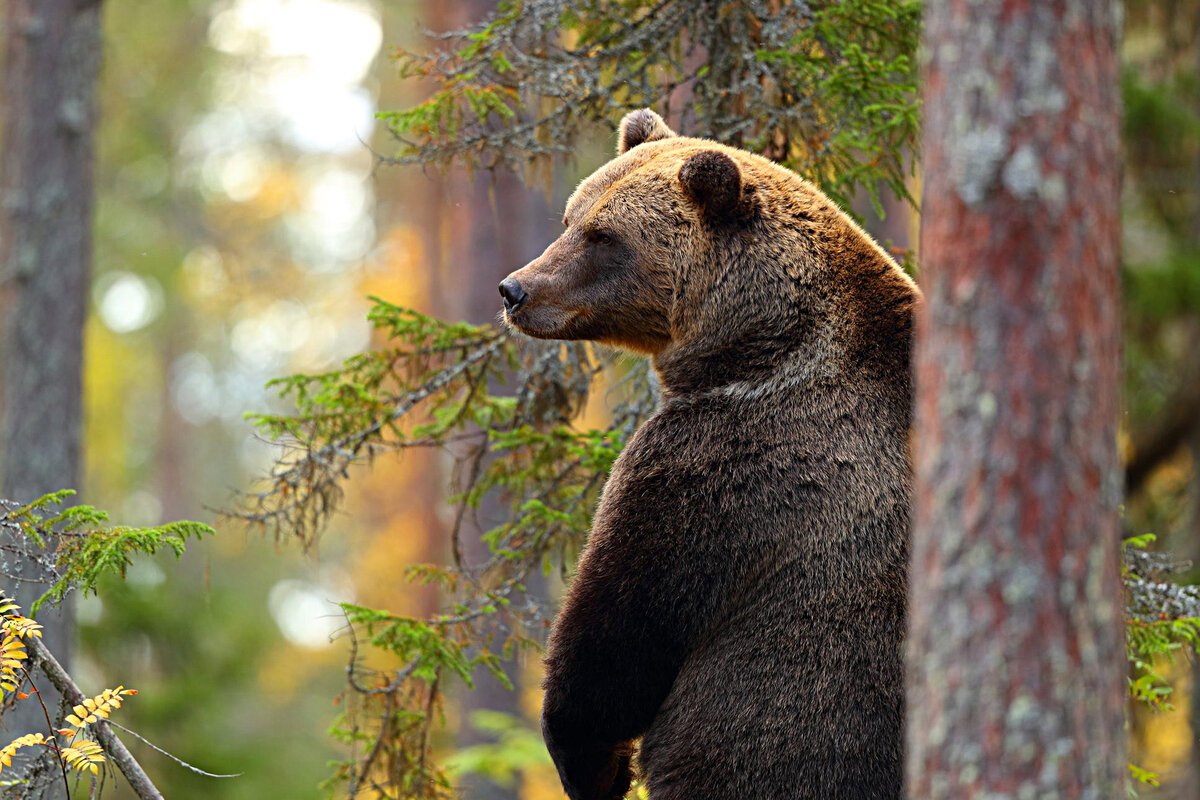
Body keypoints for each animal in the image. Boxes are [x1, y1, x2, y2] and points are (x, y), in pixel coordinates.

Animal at [496, 107, 916, 800]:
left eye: (603, 236)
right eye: (569, 218)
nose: (514, 289)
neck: (755, 346)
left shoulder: (716, 468)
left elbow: (616, 639)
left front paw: (594, 765)